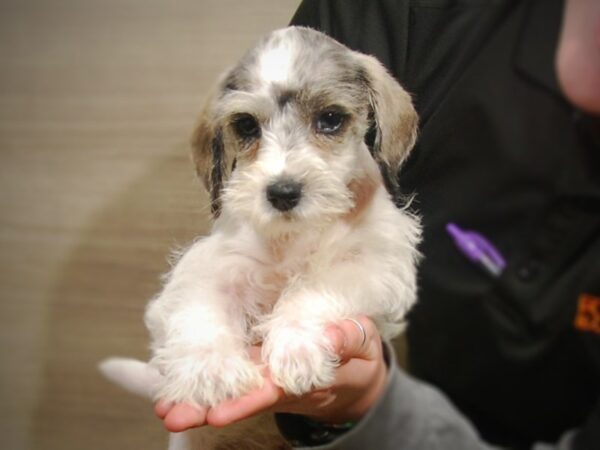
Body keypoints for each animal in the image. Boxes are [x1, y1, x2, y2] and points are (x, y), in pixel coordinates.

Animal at [102, 26, 422, 448]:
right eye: (246, 125)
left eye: (330, 119)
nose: (283, 192)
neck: (292, 238)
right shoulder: (211, 266)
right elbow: (202, 310)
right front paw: (211, 370)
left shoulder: (376, 265)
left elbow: (313, 288)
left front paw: (295, 346)